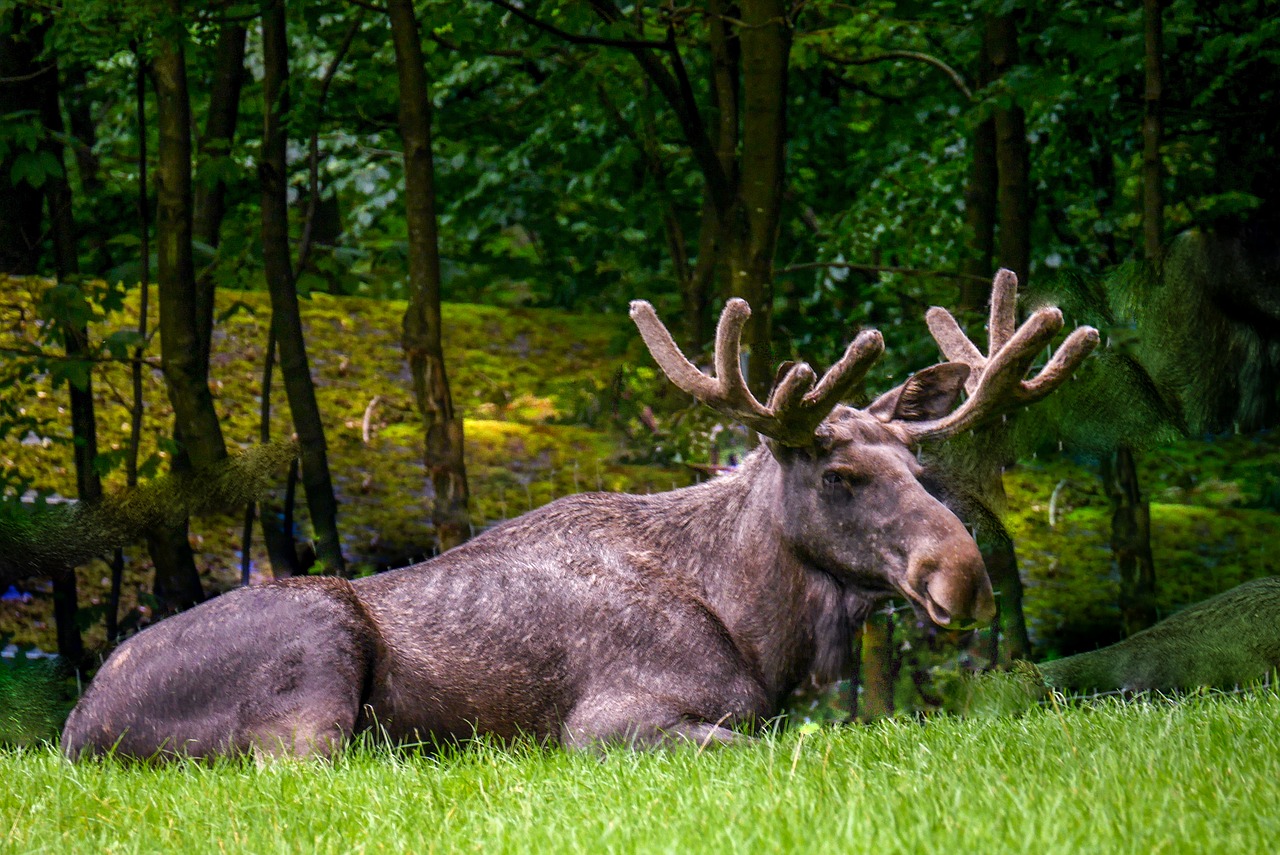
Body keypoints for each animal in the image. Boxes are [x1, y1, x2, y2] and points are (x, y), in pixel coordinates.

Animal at [64, 270, 1095, 757]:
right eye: (839, 471)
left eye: (917, 463)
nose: (963, 575)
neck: (760, 625)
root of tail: (76, 732)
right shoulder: (609, 725)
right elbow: (780, 744)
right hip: (318, 660)